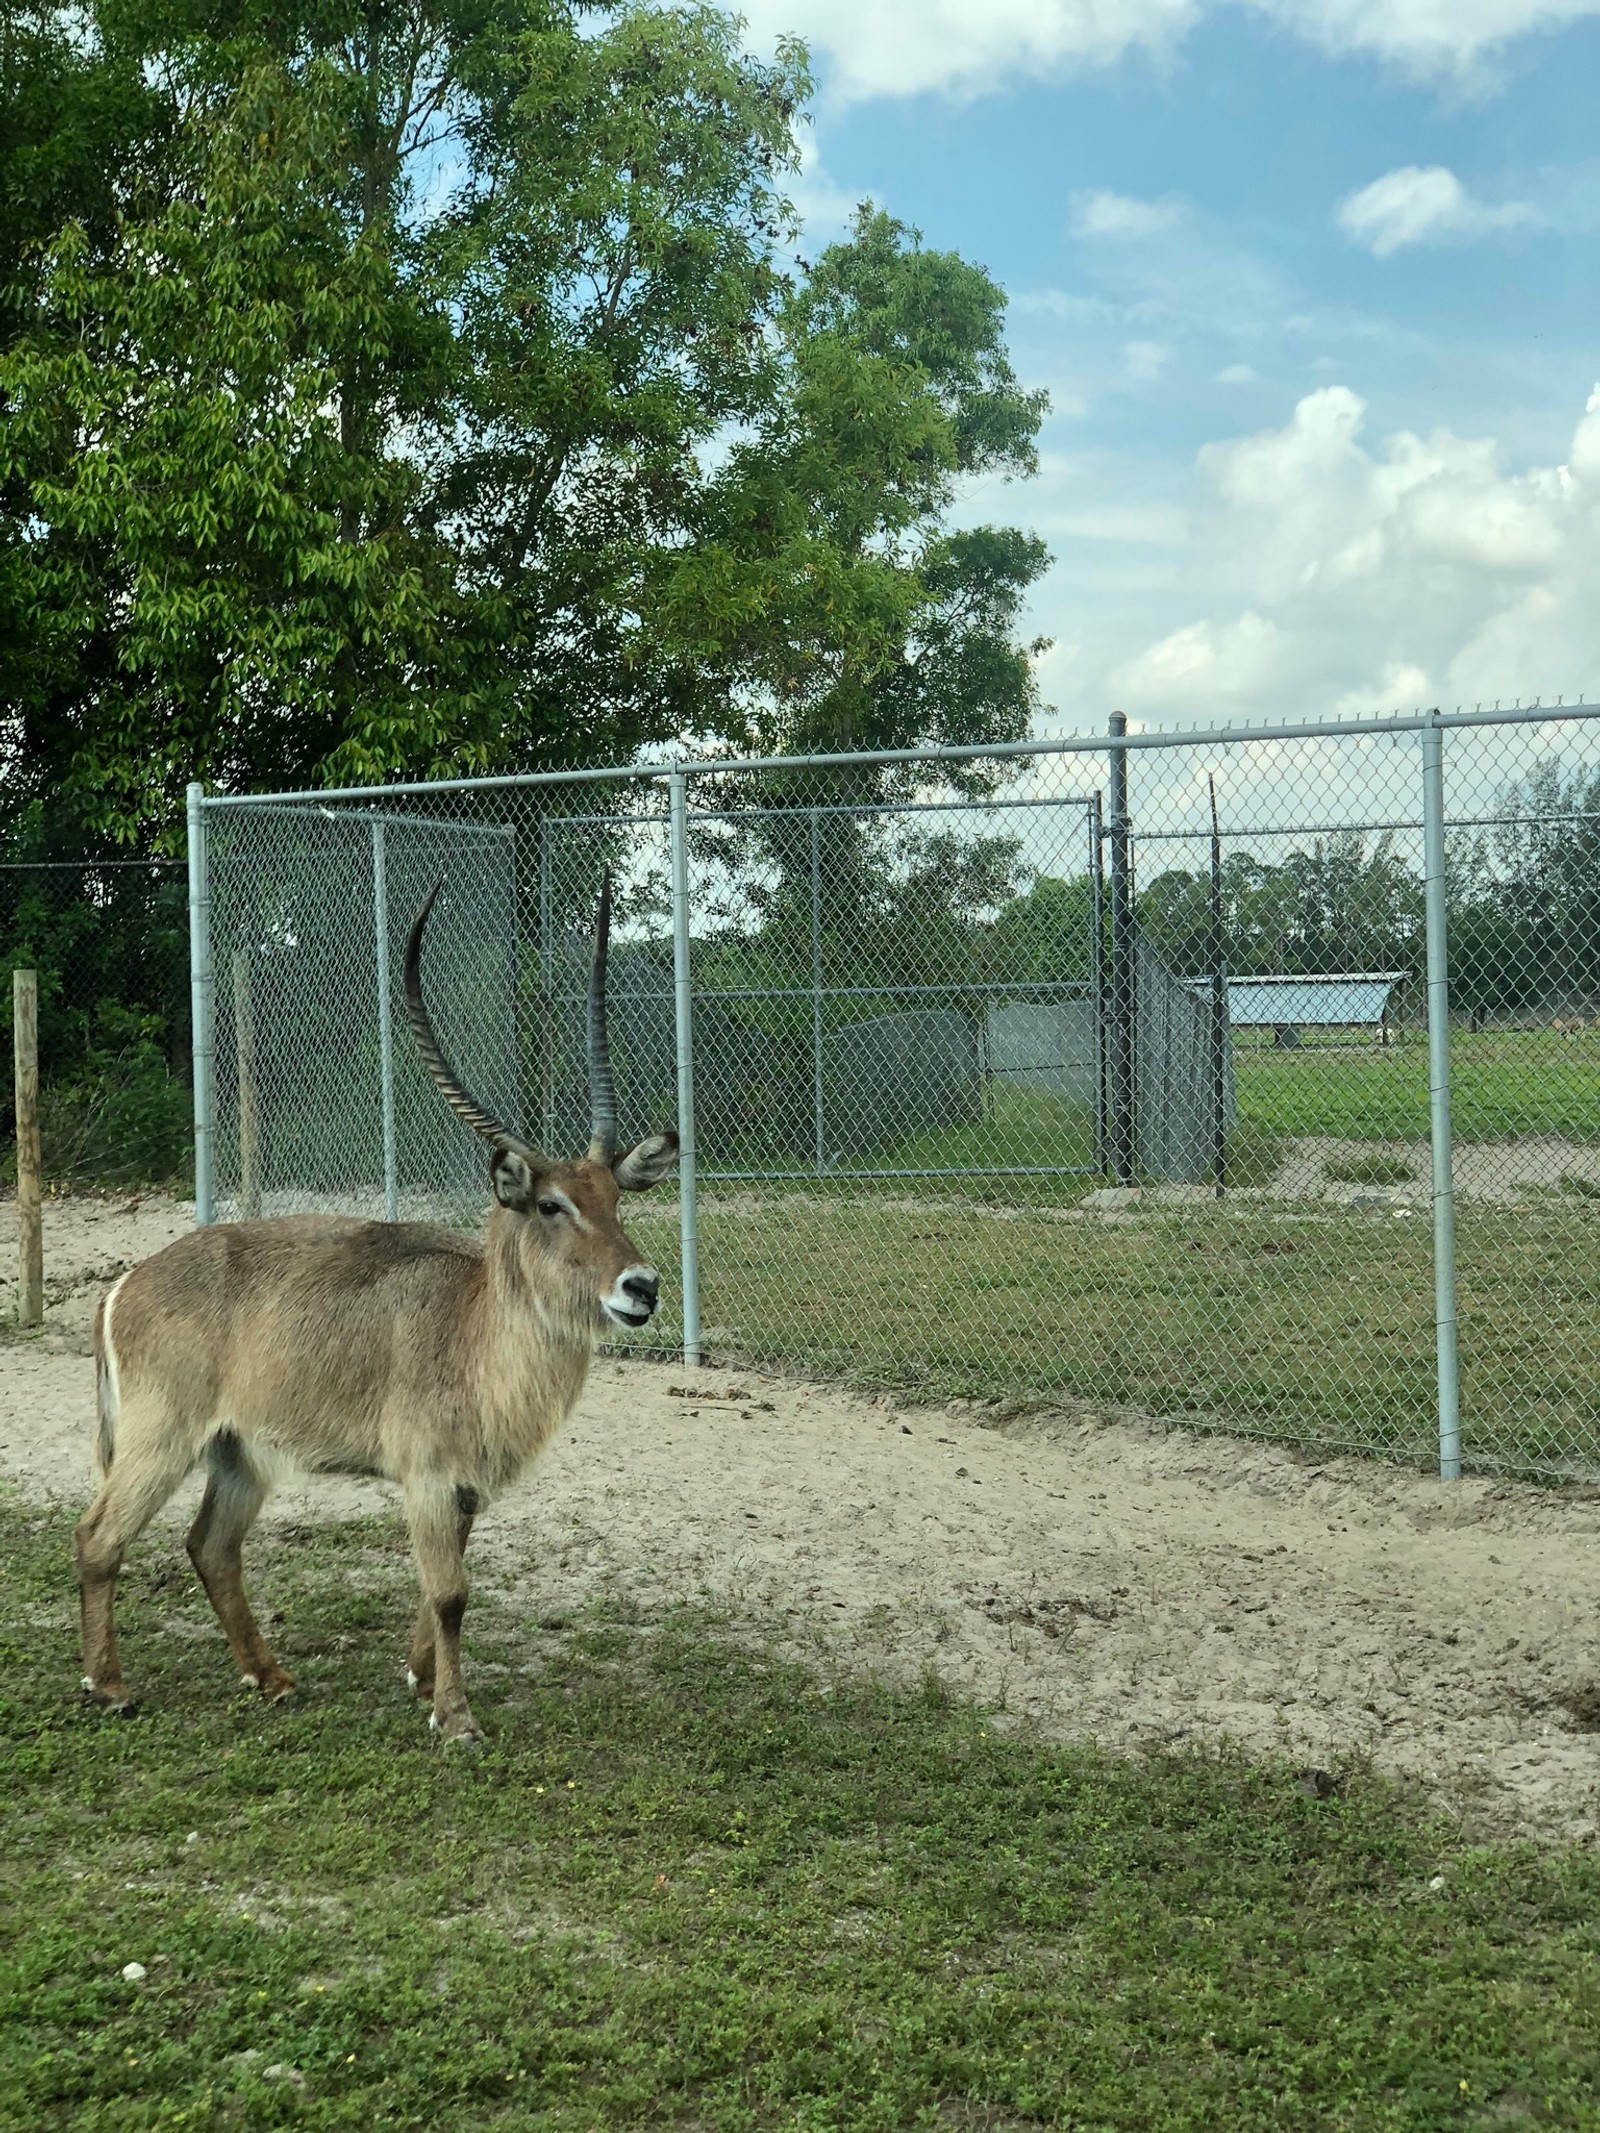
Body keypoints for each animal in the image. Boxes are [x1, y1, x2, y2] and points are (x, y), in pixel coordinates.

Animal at [76, 874, 678, 1740]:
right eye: (552, 1204)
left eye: (615, 1198)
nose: (642, 1286)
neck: (474, 1330)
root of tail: (122, 1284)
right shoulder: (425, 1475)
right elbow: (452, 1592)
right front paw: (455, 1716)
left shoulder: (462, 1487)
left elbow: (442, 1588)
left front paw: (420, 1677)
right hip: (160, 1440)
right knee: (99, 1535)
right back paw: (110, 1686)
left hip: (237, 1451)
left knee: (210, 1546)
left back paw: (271, 1677)